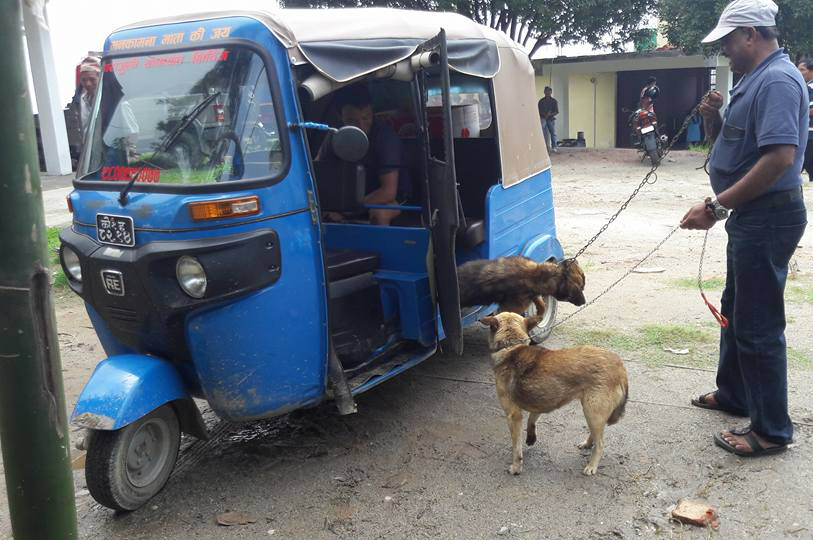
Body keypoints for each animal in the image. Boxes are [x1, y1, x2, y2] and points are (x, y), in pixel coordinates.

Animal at [482, 312, 628, 476]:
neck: (511, 346)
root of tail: (619, 366)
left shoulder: (513, 416)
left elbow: (516, 448)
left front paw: (516, 467)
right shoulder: (539, 404)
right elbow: (531, 420)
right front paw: (531, 437)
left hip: (592, 412)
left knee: (601, 443)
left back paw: (592, 465)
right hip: (592, 412)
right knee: (596, 435)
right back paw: (588, 444)